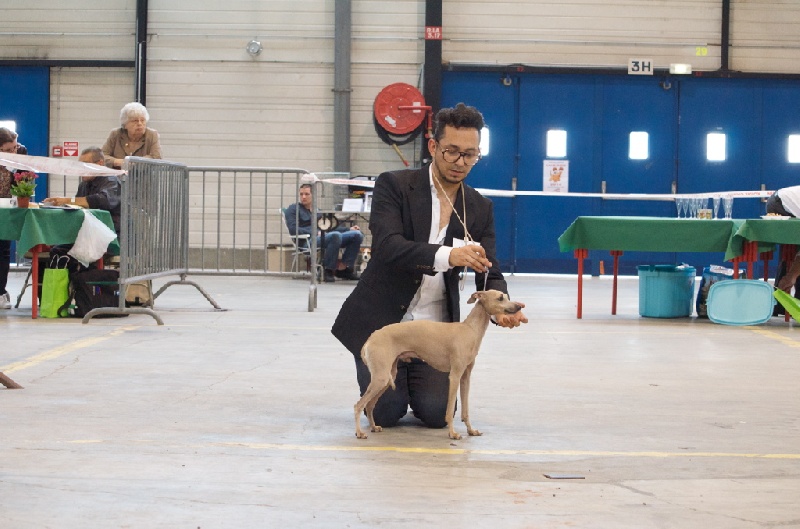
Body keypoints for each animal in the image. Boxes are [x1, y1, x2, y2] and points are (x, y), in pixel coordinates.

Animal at [354, 290, 525, 440]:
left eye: (506, 296)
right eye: (500, 298)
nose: (519, 306)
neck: (470, 330)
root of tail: (370, 339)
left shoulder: (465, 377)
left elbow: (465, 410)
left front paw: (471, 430)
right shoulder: (454, 376)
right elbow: (449, 411)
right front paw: (453, 433)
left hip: (387, 377)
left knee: (369, 405)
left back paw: (374, 427)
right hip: (381, 377)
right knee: (359, 405)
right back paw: (360, 433)